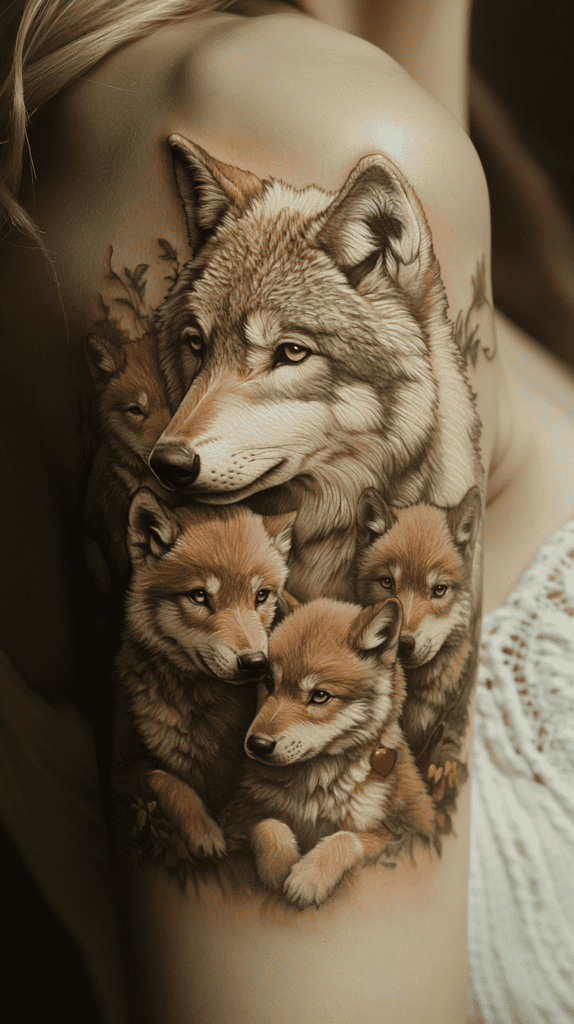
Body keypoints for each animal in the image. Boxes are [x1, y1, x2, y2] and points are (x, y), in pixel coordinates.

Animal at [112, 487, 295, 859]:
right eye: (199, 596)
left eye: (261, 595)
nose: (255, 662)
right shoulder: (123, 767)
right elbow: (166, 779)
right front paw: (203, 831)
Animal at [221, 597, 436, 908]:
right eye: (269, 684)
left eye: (320, 696)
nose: (257, 745)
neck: (314, 792)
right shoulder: (236, 819)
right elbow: (268, 825)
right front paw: (280, 866)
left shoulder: (392, 836)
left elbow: (345, 837)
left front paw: (309, 877)